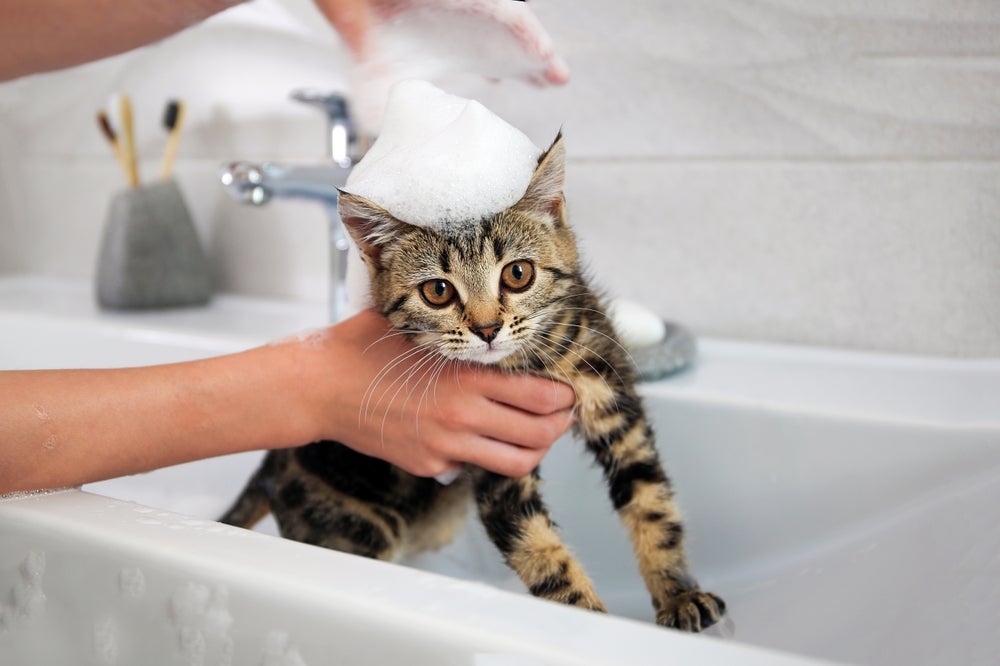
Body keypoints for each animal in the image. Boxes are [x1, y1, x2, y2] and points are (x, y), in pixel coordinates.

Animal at [223, 132, 728, 632]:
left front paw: (680, 593)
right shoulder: (496, 457)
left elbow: (652, 503)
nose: (487, 329)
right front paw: (587, 617)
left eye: (518, 274)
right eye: (438, 291)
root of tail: (270, 465)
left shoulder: (615, 401)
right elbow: (541, 553)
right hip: (353, 526)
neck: (533, 361)